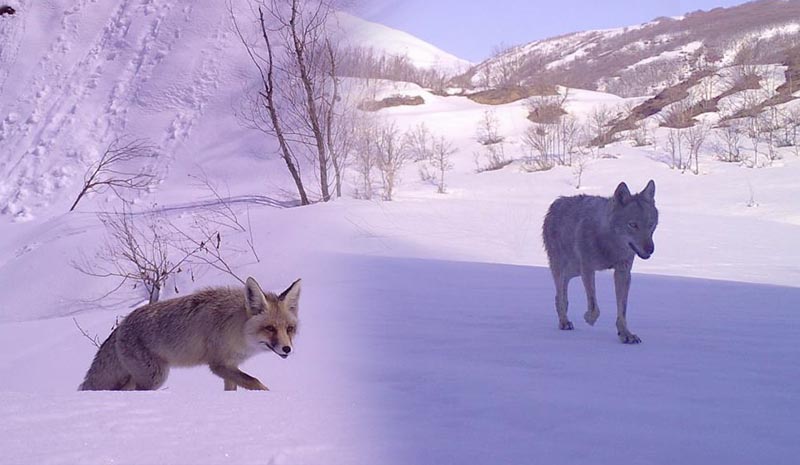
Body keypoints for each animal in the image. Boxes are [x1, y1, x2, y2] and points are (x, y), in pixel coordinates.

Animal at [79, 278, 302, 390]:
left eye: (289, 329)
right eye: (270, 328)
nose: (287, 349)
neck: (237, 329)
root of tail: (121, 325)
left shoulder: (230, 367)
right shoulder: (218, 365)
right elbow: (256, 382)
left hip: (135, 379)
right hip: (154, 378)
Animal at [540, 179, 660, 342]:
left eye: (651, 225)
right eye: (633, 225)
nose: (650, 249)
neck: (609, 245)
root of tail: (556, 203)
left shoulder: (623, 273)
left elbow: (622, 310)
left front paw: (625, 334)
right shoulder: (588, 269)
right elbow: (594, 307)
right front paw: (589, 318)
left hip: (574, 271)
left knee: (562, 294)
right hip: (563, 268)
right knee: (560, 296)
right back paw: (564, 322)